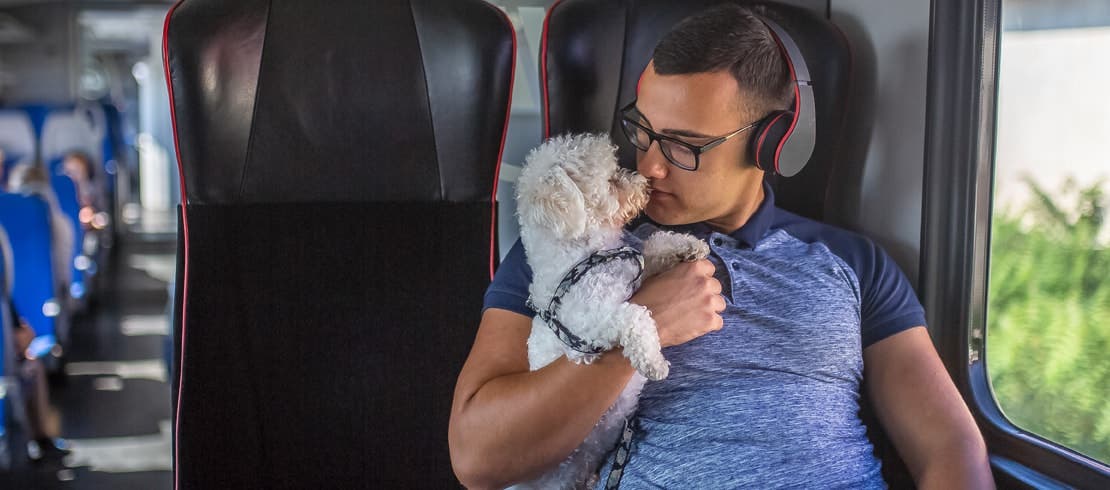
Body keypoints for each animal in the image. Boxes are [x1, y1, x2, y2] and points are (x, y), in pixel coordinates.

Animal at [508, 131, 705, 486]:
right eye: (612, 180)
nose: (646, 183)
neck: (587, 253)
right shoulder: (591, 324)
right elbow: (635, 316)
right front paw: (653, 361)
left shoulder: (635, 271)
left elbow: (654, 246)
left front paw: (687, 246)